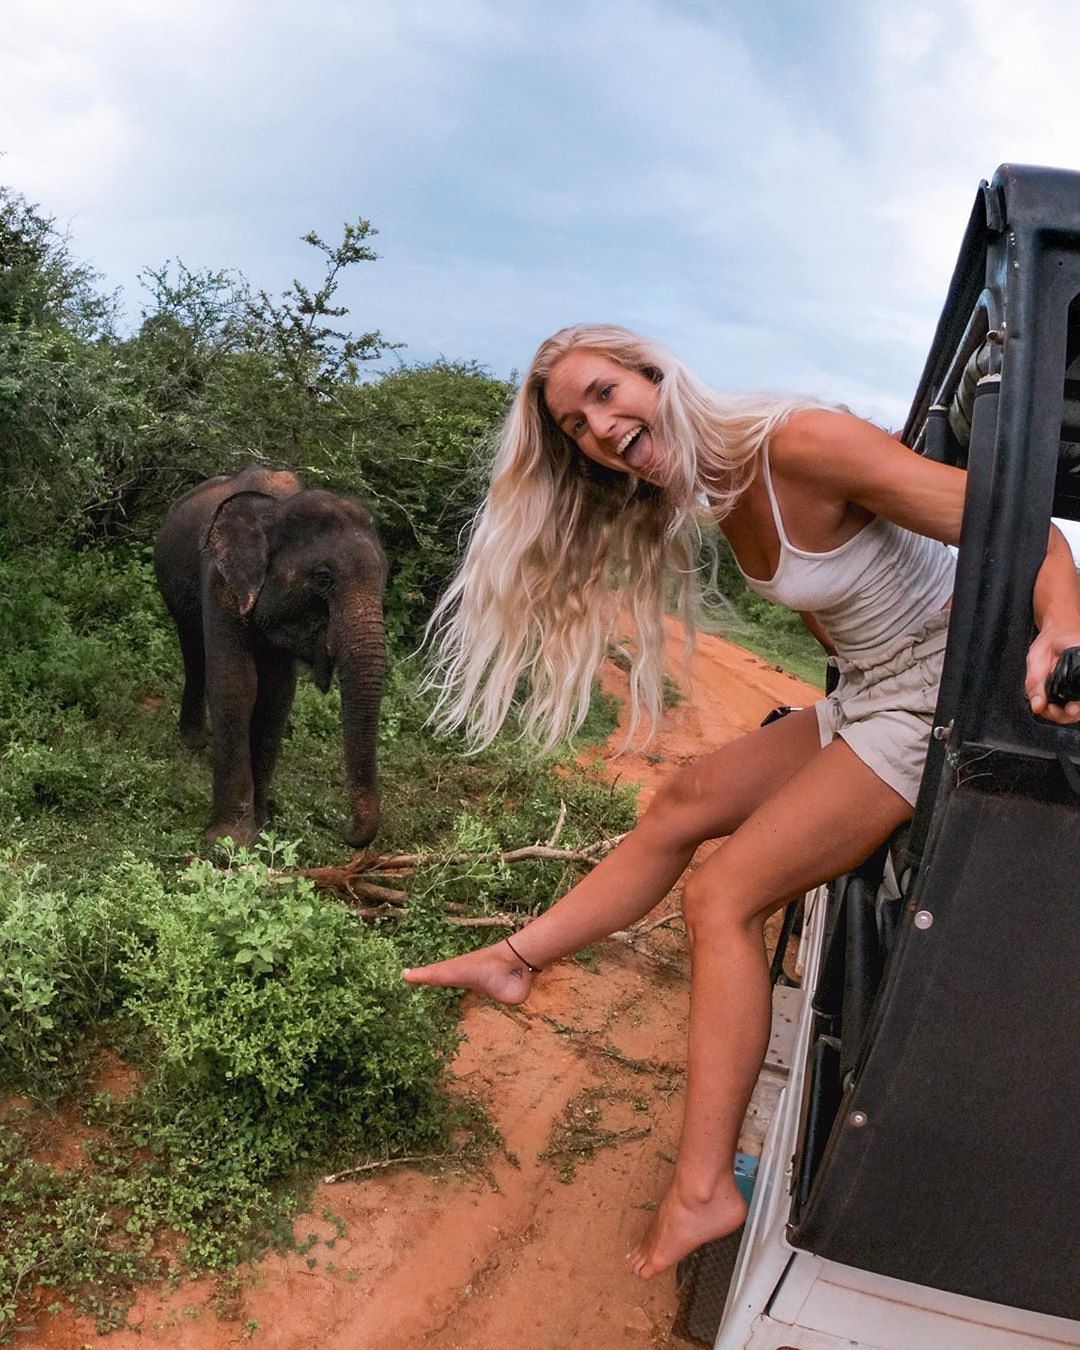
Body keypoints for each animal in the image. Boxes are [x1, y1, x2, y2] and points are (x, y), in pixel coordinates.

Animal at [154, 466, 388, 847]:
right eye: (323, 578)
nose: (345, 830)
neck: (275, 510)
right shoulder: (219, 578)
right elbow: (236, 684)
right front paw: (230, 841)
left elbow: (276, 695)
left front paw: (262, 827)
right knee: (193, 650)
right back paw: (193, 743)